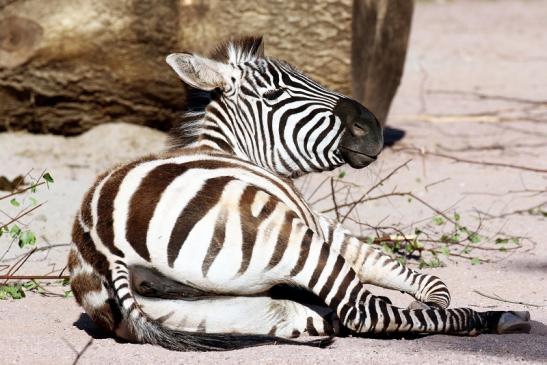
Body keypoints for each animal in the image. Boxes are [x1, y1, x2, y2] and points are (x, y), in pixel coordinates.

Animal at [67, 36, 532, 350]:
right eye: (275, 93)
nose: (373, 128)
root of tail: (103, 244)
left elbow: (423, 281)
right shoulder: (323, 226)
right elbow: (418, 279)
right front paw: (440, 308)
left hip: (204, 312)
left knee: (315, 318)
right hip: (289, 239)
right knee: (362, 312)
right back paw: (497, 317)